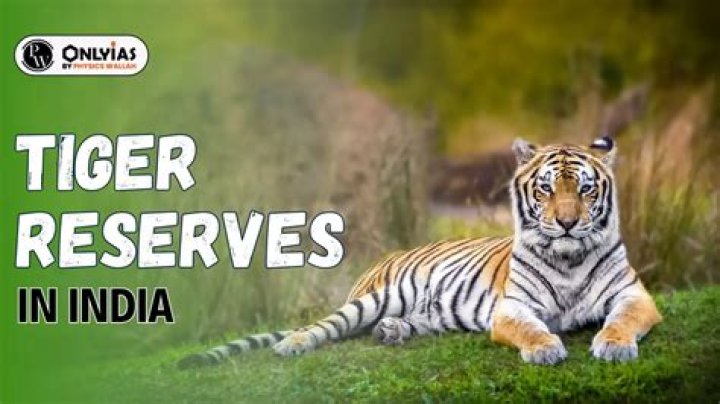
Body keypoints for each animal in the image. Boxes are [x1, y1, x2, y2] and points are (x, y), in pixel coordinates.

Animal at [178, 137, 661, 368]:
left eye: (585, 189)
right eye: (545, 189)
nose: (566, 223)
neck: (569, 258)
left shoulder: (635, 295)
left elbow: (622, 320)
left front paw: (613, 346)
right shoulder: (514, 307)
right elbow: (530, 328)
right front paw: (545, 349)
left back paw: (391, 332)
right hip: (375, 298)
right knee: (324, 326)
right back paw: (293, 345)